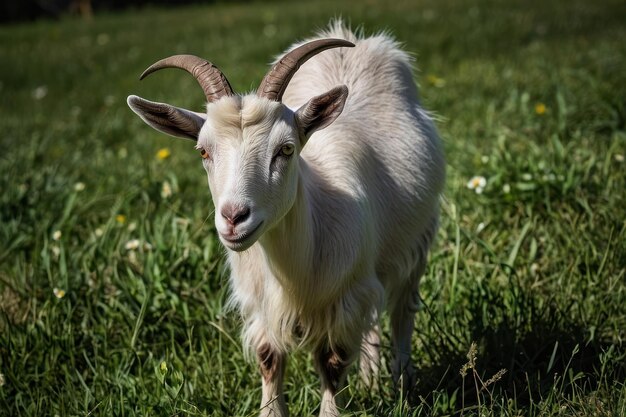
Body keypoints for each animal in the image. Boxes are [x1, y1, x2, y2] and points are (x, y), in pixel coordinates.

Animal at [127, 22, 442, 416]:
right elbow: (269, 359)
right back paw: (372, 381)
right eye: (203, 151)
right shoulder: (263, 305)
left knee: (403, 310)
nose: (233, 217)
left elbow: (332, 364)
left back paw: (402, 381)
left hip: (416, 243)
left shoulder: (346, 296)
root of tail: (354, 38)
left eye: (286, 149)